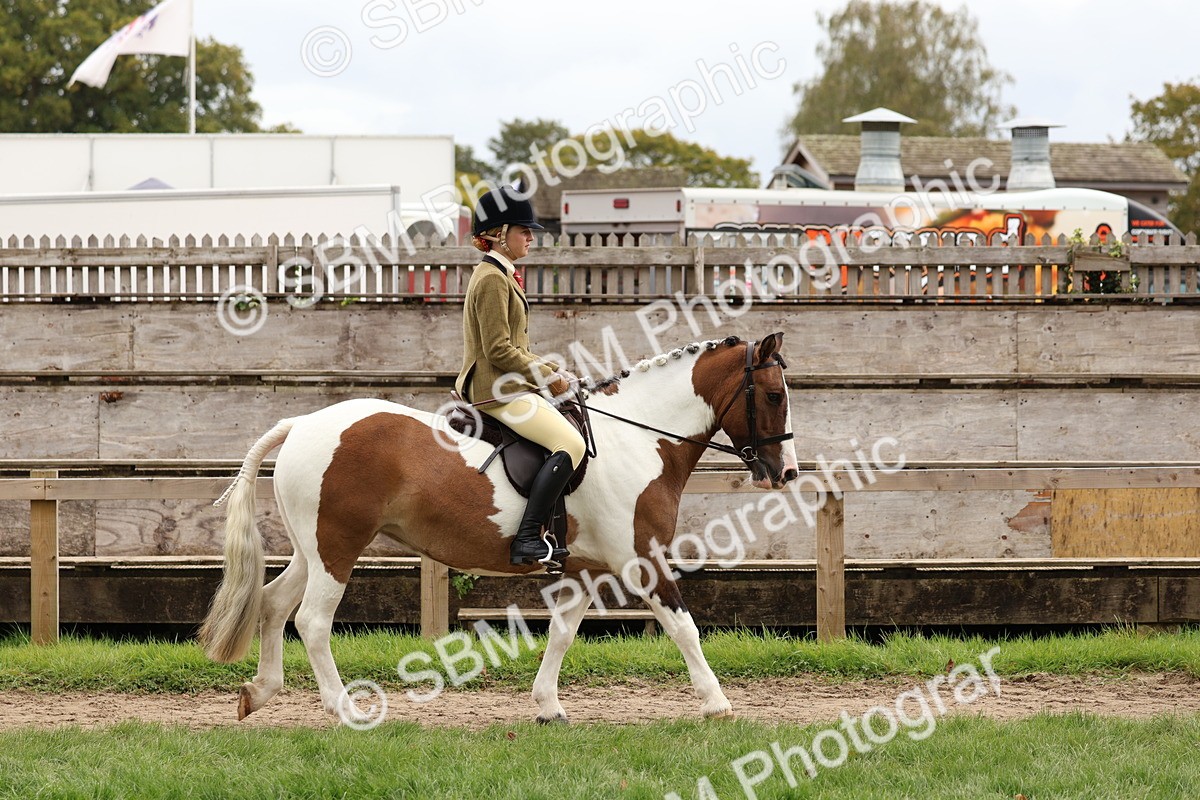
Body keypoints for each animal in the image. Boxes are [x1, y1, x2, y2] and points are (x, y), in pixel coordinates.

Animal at [199, 332, 798, 724]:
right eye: (773, 396)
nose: (786, 473)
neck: (638, 438)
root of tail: (303, 423)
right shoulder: (641, 560)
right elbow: (683, 627)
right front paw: (718, 704)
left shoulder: (584, 568)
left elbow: (562, 632)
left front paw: (548, 707)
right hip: (337, 548)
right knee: (313, 621)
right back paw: (347, 710)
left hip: (314, 549)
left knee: (275, 604)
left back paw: (259, 693)